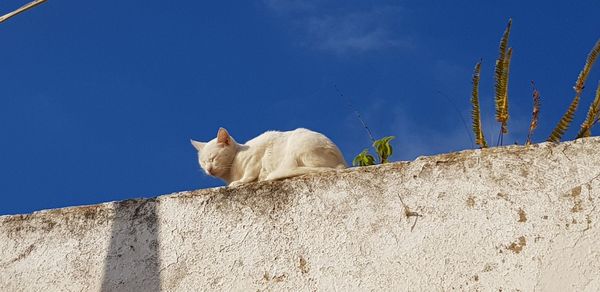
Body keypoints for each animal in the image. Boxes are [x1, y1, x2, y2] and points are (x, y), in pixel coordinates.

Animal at [190, 128, 344, 187]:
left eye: (213, 158)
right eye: (203, 162)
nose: (208, 169)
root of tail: (342, 163)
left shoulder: (257, 153)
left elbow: (250, 172)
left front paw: (240, 181)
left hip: (298, 144)